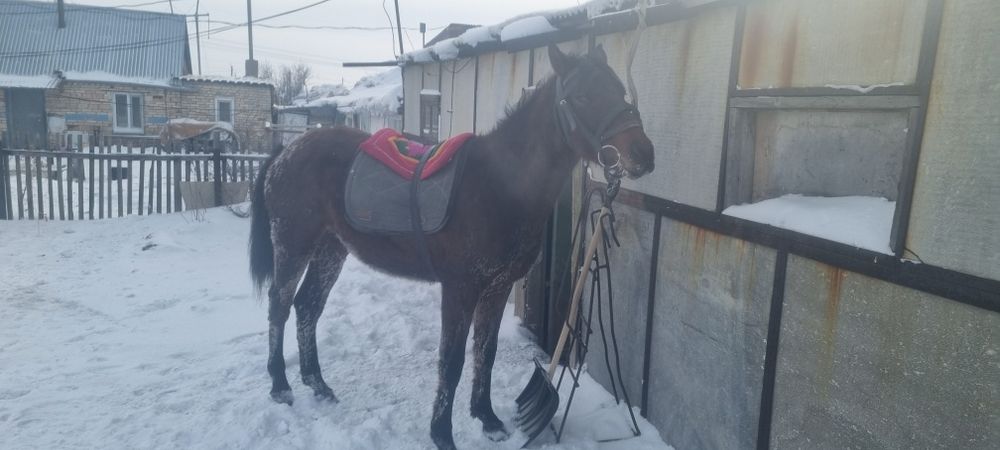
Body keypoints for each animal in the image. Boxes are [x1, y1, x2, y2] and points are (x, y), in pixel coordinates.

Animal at [249, 44, 655, 449]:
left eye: (620, 91)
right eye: (582, 96)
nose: (643, 153)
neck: (500, 184)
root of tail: (286, 152)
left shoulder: (497, 287)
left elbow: (485, 352)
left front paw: (488, 419)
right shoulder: (460, 288)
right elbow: (452, 360)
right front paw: (442, 433)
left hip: (330, 249)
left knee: (308, 307)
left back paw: (318, 385)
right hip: (293, 244)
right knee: (280, 305)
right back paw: (280, 386)